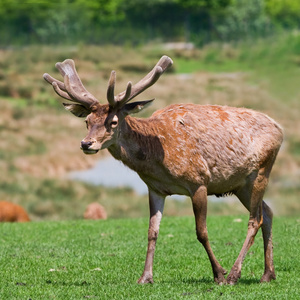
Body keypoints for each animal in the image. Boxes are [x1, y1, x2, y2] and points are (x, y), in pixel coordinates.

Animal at [43, 56, 282, 286]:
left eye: (113, 121)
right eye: (87, 121)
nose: (86, 144)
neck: (158, 158)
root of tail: (280, 128)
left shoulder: (199, 181)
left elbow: (201, 232)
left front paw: (219, 274)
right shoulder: (155, 188)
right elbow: (152, 232)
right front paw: (145, 277)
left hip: (262, 171)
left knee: (255, 219)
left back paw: (234, 274)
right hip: (240, 185)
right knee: (268, 212)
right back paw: (268, 274)